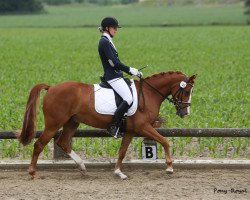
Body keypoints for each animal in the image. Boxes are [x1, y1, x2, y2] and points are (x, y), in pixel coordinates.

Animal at [17, 71, 196, 180]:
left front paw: (118, 172)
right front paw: (170, 168)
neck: (149, 93)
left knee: (63, 142)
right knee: (39, 144)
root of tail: (52, 87)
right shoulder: (143, 127)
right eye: (187, 92)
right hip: (54, 124)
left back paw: (82, 167)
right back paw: (32, 172)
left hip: (72, 122)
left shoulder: (131, 131)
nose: (185, 113)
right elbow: (165, 141)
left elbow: (122, 152)